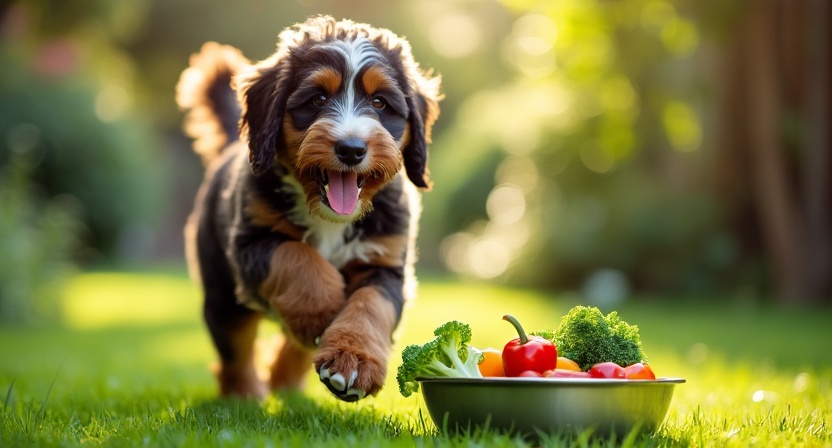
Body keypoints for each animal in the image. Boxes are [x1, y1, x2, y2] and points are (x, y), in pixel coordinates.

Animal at [176, 14, 442, 402]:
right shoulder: (250, 243)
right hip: (222, 291)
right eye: (317, 99)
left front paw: (353, 359)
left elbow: (370, 305)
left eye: (380, 103)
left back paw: (287, 381)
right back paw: (245, 394)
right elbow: (298, 258)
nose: (351, 149)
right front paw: (324, 312)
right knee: (234, 350)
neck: (330, 218)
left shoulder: (387, 264)